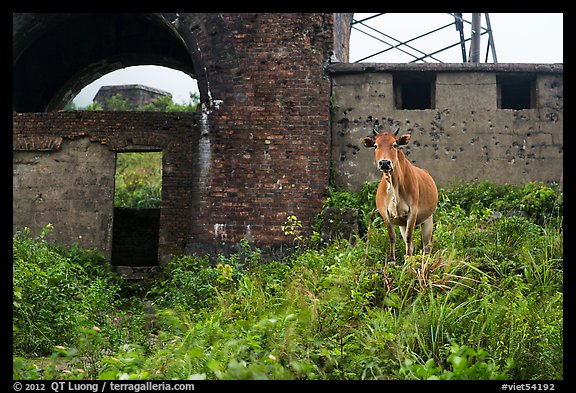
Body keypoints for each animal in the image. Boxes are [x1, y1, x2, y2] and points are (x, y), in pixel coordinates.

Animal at [362, 127, 438, 262]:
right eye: (375, 145)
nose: (385, 163)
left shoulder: (413, 212)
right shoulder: (386, 214)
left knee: (426, 246)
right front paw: (392, 260)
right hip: (403, 224)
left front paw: (408, 260)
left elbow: (409, 236)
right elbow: (392, 237)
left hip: (428, 219)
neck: (394, 186)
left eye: (395, 145)